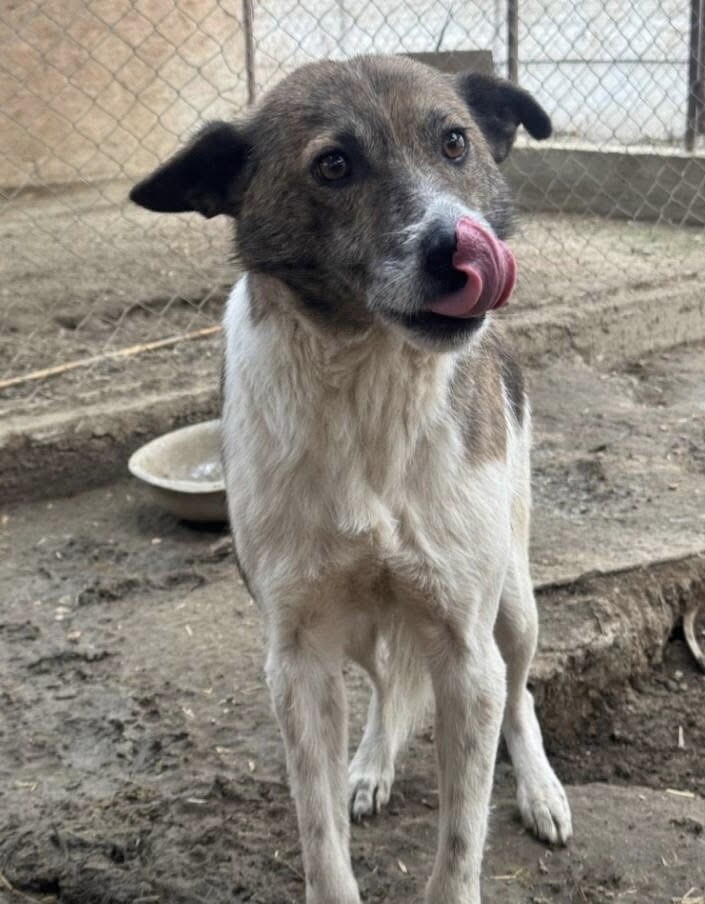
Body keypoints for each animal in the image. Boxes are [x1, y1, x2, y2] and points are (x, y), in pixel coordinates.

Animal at [130, 54, 573, 904]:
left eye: (455, 143)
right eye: (333, 165)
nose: (455, 246)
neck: (370, 386)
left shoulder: (465, 650)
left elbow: (461, 838)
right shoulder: (298, 655)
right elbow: (320, 829)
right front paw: (351, 785)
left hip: (512, 601)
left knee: (521, 693)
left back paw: (539, 787)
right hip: (362, 624)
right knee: (386, 685)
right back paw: (369, 763)